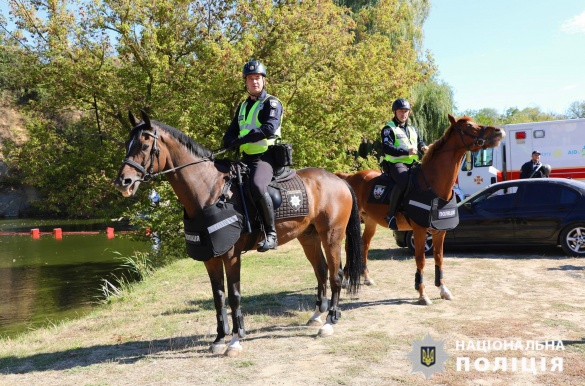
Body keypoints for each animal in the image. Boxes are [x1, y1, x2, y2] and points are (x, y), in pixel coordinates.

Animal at [112, 110, 362, 358]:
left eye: (145, 145)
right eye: (127, 143)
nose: (123, 182)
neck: (210, 191)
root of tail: (339, 180)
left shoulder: (231, 255)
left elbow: (234, 296)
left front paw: (235, 340)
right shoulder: (210, 257)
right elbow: (218, 296)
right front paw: (219, 339)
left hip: (331, 237)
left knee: (336, 275)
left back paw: (329, 321)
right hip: (308, 238)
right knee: (321, 271)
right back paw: (317, 316)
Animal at [336, 114, 504, 304]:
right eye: (469, 126)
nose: (498, 131)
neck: (433, 184)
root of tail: (350, 177)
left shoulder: (440, 231)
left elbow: (439, 258)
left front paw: (443, 290)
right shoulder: (420, 230)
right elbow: (421, 260)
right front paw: (422, 293)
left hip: (371, 222)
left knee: (364, 245)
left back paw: (366, 277)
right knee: (349, 247)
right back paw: (346, 280)